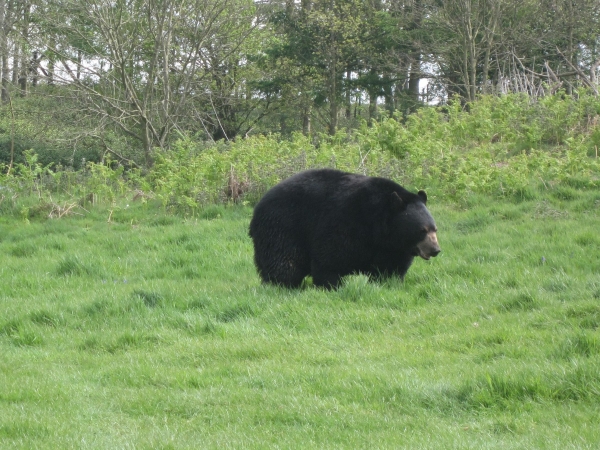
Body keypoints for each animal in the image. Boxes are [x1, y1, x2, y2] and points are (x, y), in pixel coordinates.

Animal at [248, 169, 440, 288]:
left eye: (434, 229)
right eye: (422, 230)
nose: (435, 249)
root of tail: (258, 207)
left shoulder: (393, 247)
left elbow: (390, 269)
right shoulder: (345, 222)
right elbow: (329, 258)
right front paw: (332, 285)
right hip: (282, 227)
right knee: (285, 262)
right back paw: (281, 284)